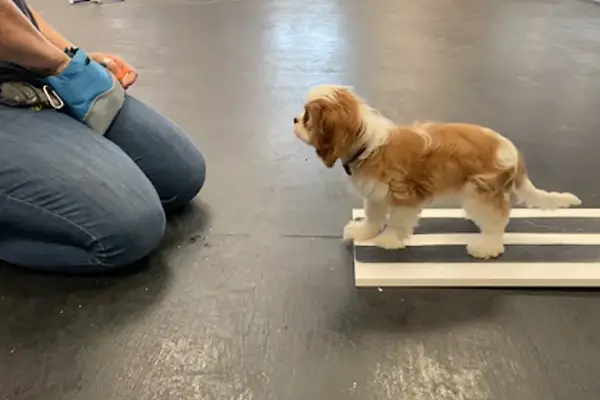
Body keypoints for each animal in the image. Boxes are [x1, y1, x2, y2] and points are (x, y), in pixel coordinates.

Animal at [292, 84, 580, 260]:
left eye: (307, 117)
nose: (294, 119)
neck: (368, 144)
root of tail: (512, 150)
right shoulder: (374, 194)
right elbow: (373, 216)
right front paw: (364, 232)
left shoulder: (404, 195)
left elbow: (397, 221)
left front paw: (389, 240)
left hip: (480, 192)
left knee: (497, 221)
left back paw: (486, 247)